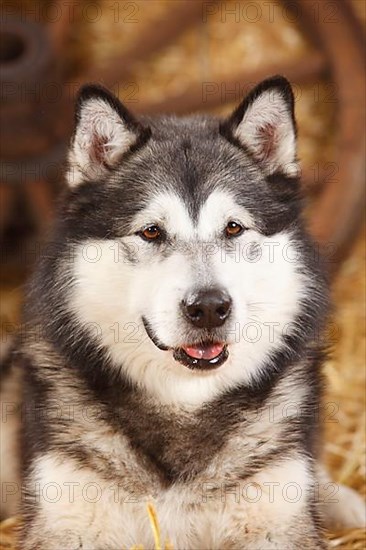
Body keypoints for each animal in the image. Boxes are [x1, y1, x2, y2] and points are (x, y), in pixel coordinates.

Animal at [0, 76, 364, 548]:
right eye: (151, 231)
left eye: (233, 227)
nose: (209, 307)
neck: (184, 405)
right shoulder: (65, 523)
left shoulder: (279, 520)